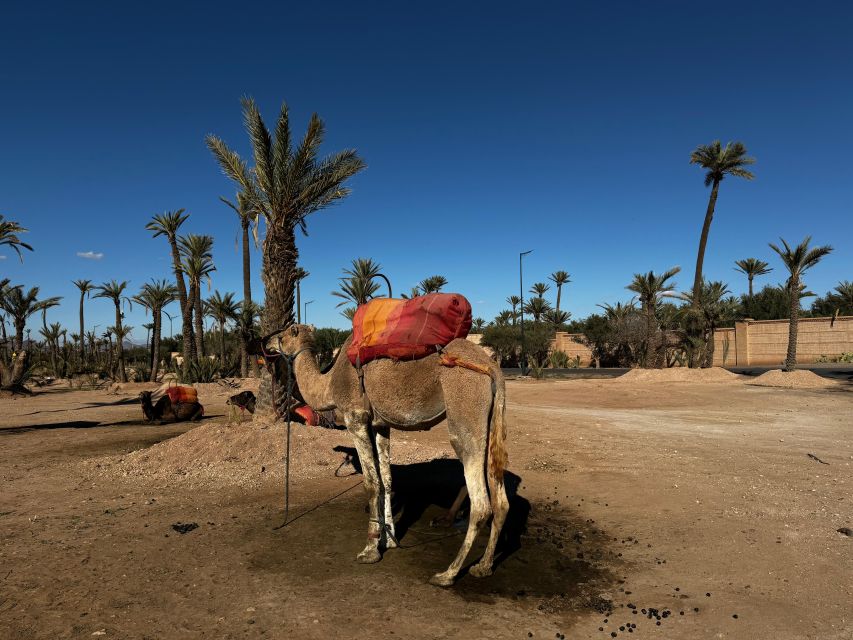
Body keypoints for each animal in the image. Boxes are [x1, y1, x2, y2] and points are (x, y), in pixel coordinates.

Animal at [262, 328, 510, 588]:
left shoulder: (355, 418)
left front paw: (370, 549)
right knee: (501, 500)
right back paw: (483, 566)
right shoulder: (381, 425)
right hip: (492, 418)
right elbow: (387, 481)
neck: (329, 383)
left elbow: (371, 484)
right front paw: (388, 540)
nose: (266, 342)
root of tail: (492, 366)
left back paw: (447, 574)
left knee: (481, 504)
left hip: (465, 409)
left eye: (283, 335)